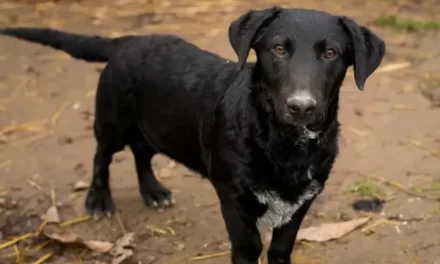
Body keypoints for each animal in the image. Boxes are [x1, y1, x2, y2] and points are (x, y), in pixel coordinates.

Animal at [0, 6, 384, 264]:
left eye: (331, 53)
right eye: (278, 49)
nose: (301, 107)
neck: (283, 143)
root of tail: (127, 40)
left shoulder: (302, 201)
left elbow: (279, 249)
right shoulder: (234, 199)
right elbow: (249, 248)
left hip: (154, 125)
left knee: (142, 152)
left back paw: (153, 191)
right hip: (112, 121)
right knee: (101, 156)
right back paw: (98, 199)